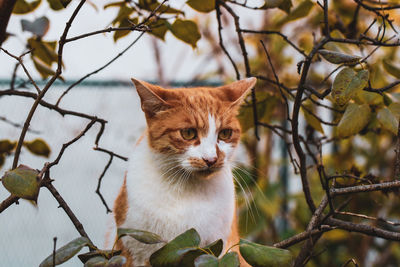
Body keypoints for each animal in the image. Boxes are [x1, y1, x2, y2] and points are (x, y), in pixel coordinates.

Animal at [112, 76, 256, 266]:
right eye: (188, 133)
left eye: (225, 134)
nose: (211, 159)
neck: (184, 188)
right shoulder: (134, 248)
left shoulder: (221, 246)